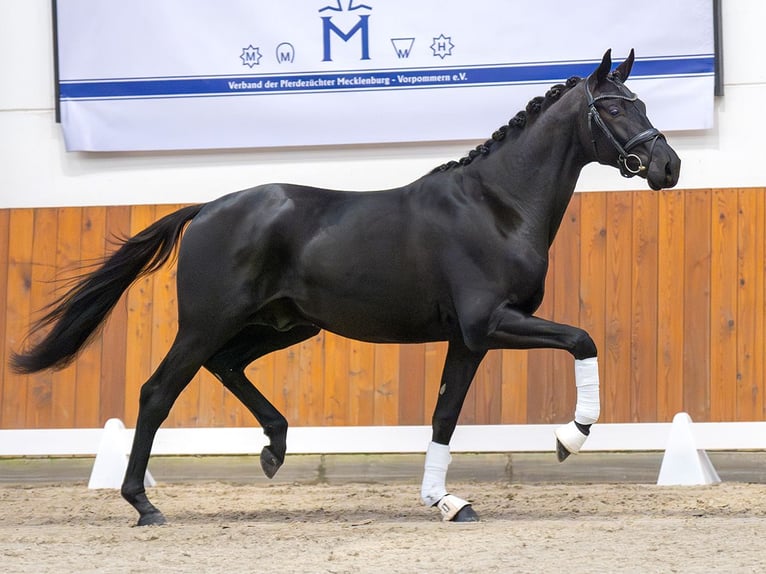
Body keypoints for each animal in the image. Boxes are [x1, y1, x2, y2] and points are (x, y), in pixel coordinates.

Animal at [10, 51, 684, 528]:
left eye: (642, 102)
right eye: (615, 107)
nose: (668, 166)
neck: (496, 206)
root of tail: (206, 209)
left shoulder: (468, 340)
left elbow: (444, 415)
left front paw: (445, 502)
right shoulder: (490, 323)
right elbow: (582, 339)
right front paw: (570, 438)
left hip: (284, 324)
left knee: (227, 367)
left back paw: (274, 448)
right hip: (206, 325)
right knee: (157, 393)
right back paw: (144, 505)